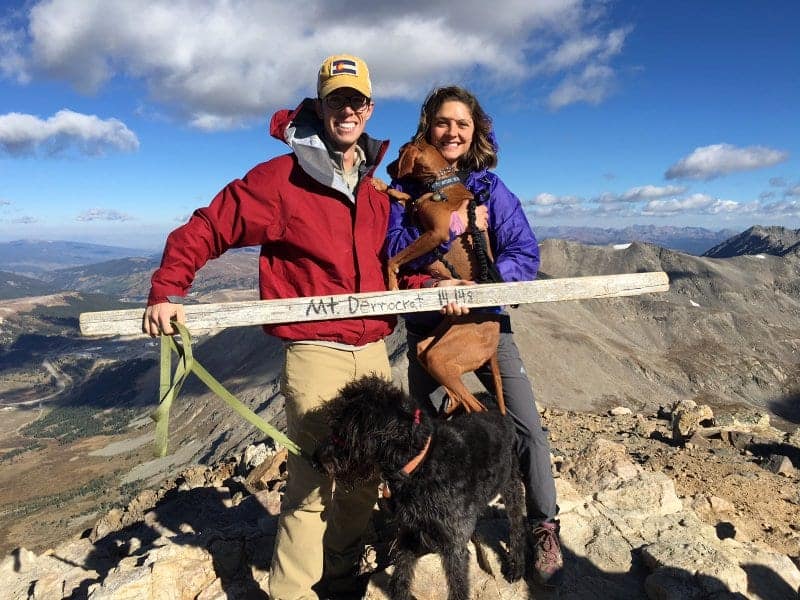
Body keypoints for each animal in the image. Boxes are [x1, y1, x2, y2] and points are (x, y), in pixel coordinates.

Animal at [310, 376, 524, 600]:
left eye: (344, 431)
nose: (314, 460)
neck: (421, 464)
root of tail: (490, 400)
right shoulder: (409, 530)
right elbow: (401, 574)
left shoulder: (453, 545)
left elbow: (457, 585)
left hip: (511, 484)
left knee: (517, 526)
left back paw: (516, 567)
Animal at [380, 138, 506, 414]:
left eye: (399, 153)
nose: (386, 169)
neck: (440, 184)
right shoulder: (417, 212)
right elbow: (407, 197)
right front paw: (380, 186)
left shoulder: (436, 234)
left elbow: (393, 259)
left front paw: (392, 285)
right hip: (431, 346)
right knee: (455, 393)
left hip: (441, 357)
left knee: (474, 405)